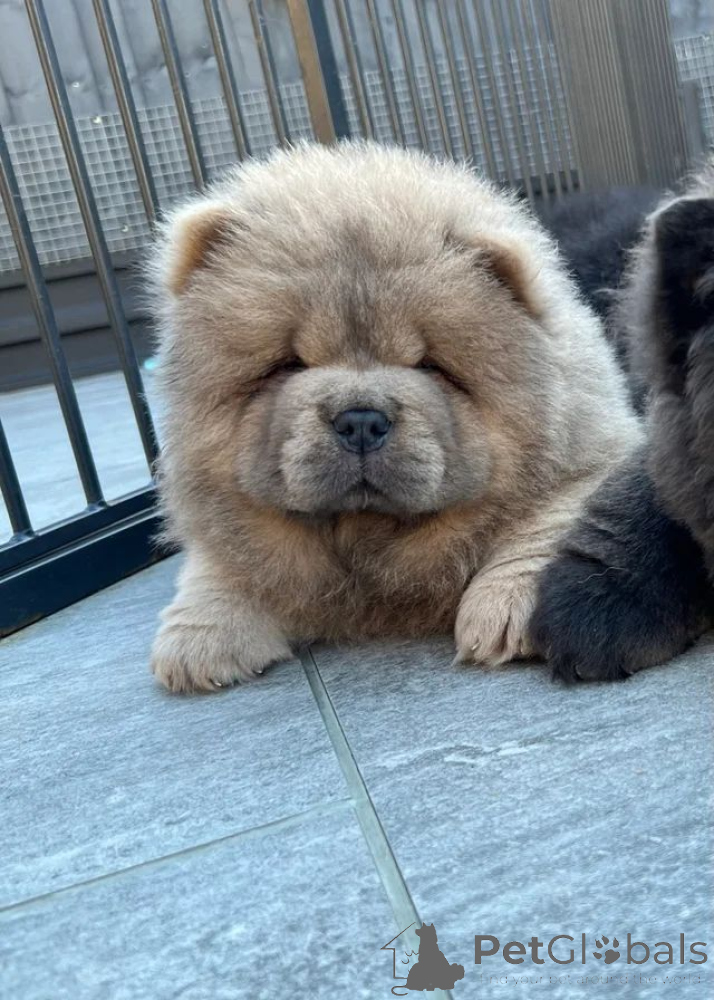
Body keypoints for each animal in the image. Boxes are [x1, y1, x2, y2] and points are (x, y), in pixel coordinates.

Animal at [147, 141, 640, 692]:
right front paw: (200, 639)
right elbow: (221, 562)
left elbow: (544, 520)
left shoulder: (594, 455)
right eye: (290, 365)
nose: (360, 419)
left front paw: (505, 609)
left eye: (428, 365)